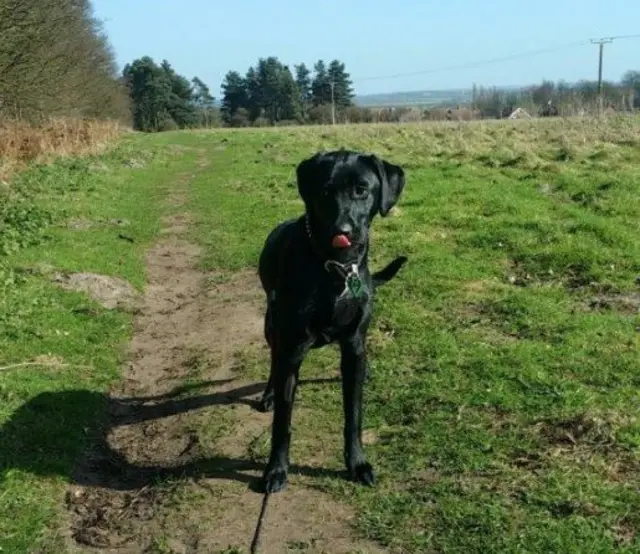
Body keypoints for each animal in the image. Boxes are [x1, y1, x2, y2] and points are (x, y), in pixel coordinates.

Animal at [255, 149, 404, 490]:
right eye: (324, 192)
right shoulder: (292, 348)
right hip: (272, 326)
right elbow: (282, 421)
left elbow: (353, 415)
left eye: (361, 190)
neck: (337, 268)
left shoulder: (353, 346)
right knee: (273, 361)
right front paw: (276, 469)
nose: (342, 232)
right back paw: (268, 394)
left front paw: (357, 464)